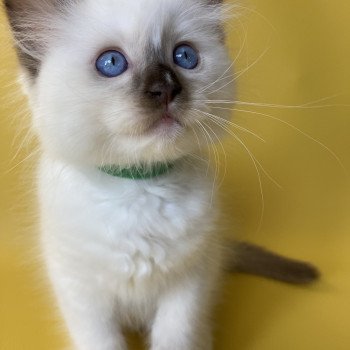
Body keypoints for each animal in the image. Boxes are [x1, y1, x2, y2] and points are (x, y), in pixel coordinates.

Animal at [3, 0, 320, 350]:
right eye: (111, 63)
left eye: (184, 56)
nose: (166, 88)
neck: (140, 184)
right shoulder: (82, 291)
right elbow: (102, 340)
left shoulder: (189, 281)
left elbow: (175, 337)